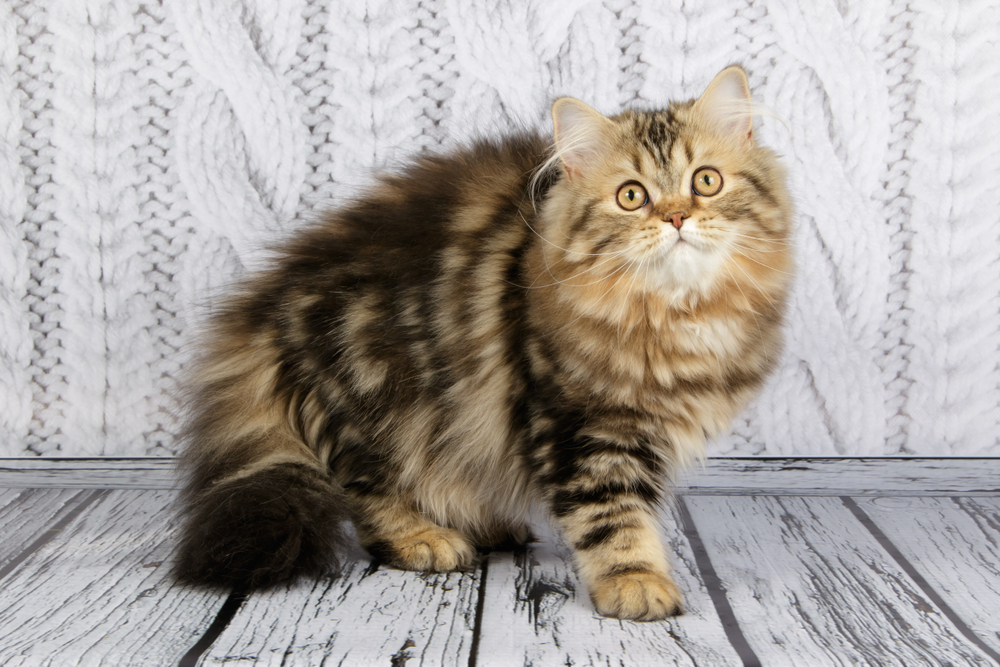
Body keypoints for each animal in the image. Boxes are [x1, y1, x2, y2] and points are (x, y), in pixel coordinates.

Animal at [176, 65, 792, 624]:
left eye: (706, 181)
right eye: (631, 195)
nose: (678, 217)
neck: (675, 312)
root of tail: (265, 307)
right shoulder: (582, 426)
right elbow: (612, 514)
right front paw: (634, 579)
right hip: (371, 394)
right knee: (364, 490)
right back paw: (425, 539)